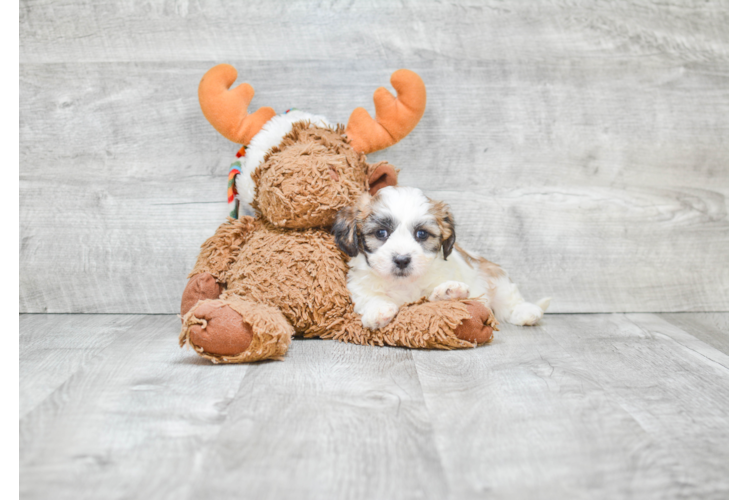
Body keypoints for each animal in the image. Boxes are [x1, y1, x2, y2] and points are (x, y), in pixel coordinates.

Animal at [334, 186, 548, 330]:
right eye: (381, 233)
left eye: (421, 234)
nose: (402, 260)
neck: (403, 284)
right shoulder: (359, 286)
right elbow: (370, 296)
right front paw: (378, 310)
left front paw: (449, 291)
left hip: (497, 279)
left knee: (510, 301)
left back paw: (526, 312)